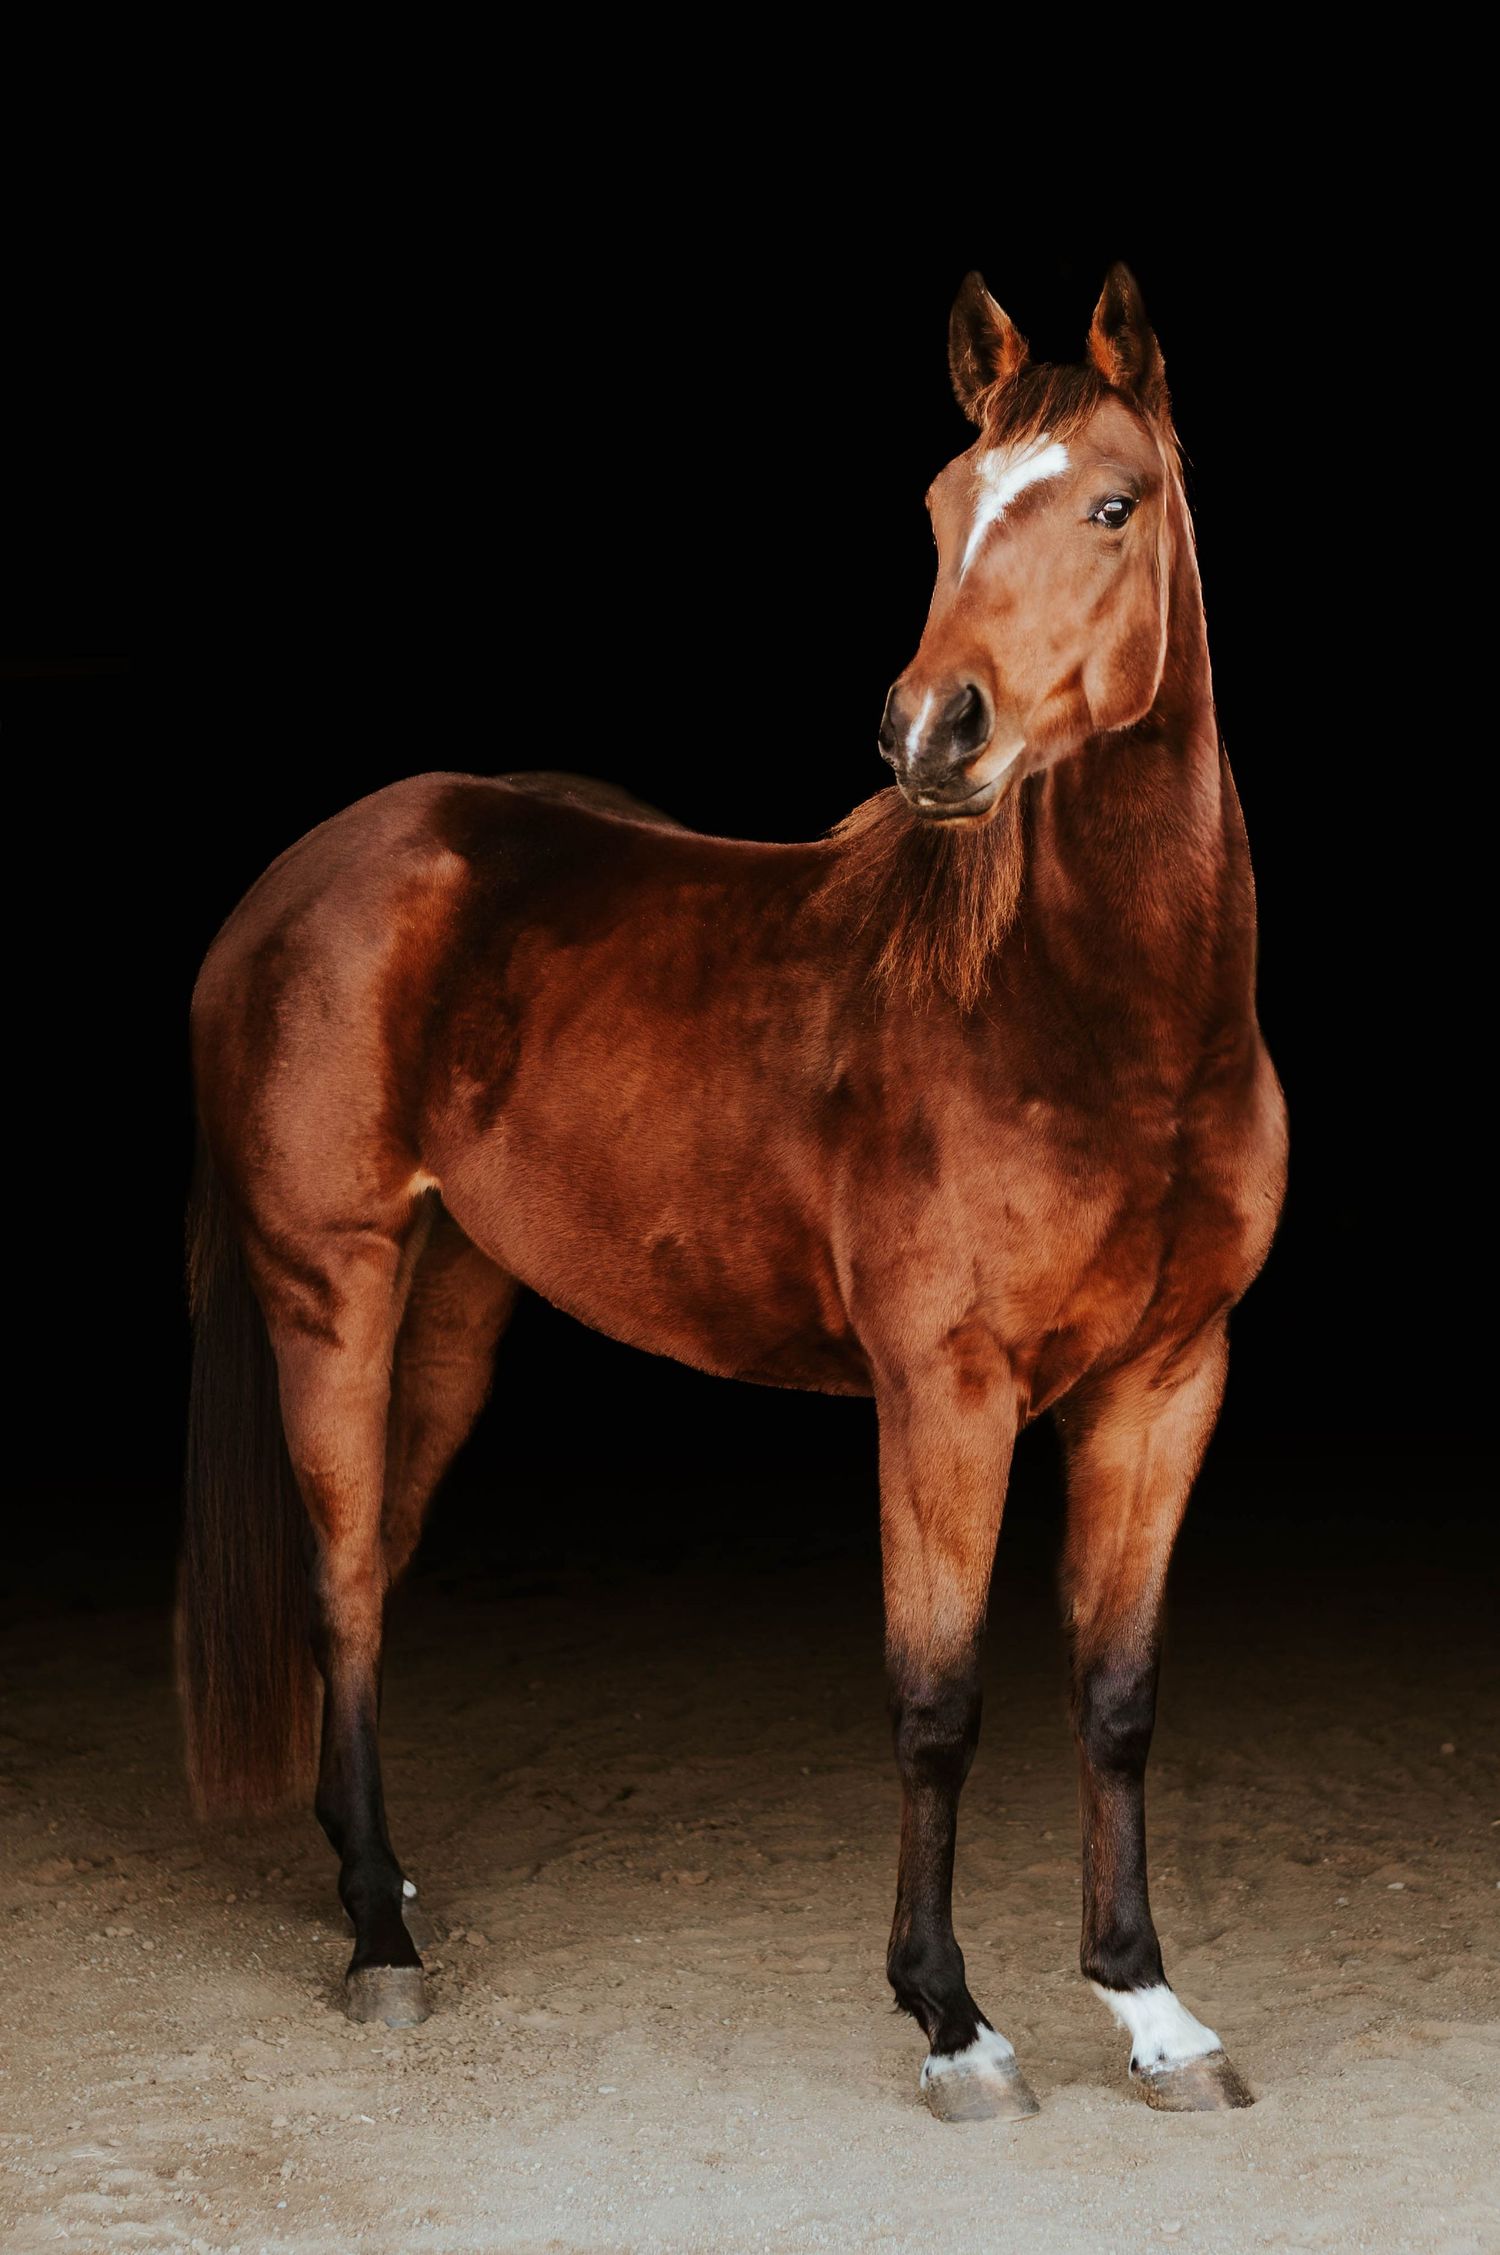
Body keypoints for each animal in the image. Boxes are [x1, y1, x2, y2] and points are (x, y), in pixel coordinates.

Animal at [180, 263, 1286, 2123]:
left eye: (1113, 506)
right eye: (942, 505)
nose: (932, 730)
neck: (1094, 1019)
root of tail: (303, 876)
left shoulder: (1164, 1382)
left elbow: (1120, 1697)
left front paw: (1152, 2009)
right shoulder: (945, 1396)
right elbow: (938, 1706)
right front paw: (953, 2022)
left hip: (457, 1306)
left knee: (379, 1571)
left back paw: (377, 1874)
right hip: (331, 1284)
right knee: (341, 1581)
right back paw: (380, 1945)